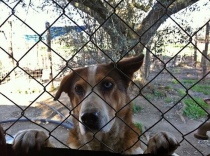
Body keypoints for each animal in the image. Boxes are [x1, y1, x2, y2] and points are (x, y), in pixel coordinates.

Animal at [11, 54, 179, 155]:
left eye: (107, 84)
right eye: (78, 89)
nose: (89, 118)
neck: (100, 142)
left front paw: (158, 145)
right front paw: (34, 135)